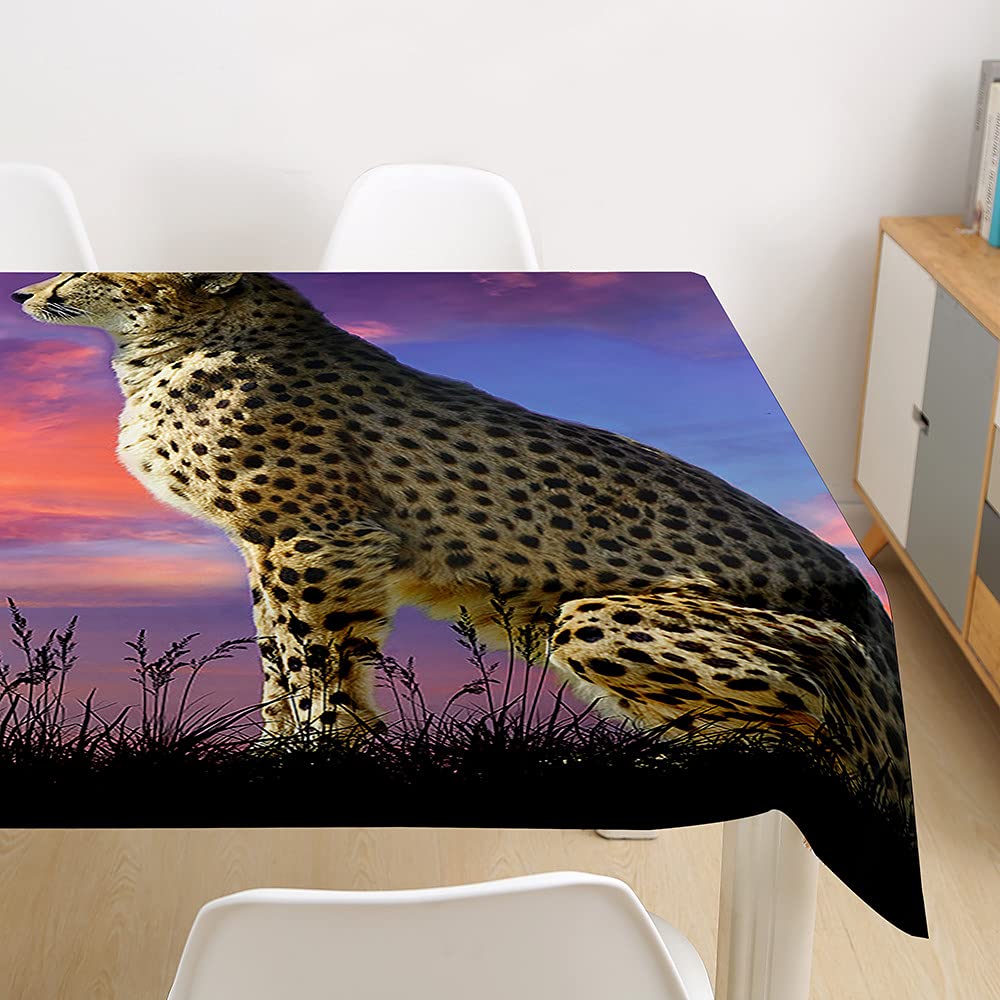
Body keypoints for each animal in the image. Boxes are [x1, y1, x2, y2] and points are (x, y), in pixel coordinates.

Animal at [12, 271, 912, 813]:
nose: (25, 290)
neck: (174, 341)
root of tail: (866, 595)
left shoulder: (316, 539)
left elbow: (314, 661)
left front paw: (317, 756)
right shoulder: (269, 548)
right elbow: (275, 657)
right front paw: (269, 751)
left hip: (598, 619)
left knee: (804, 729)